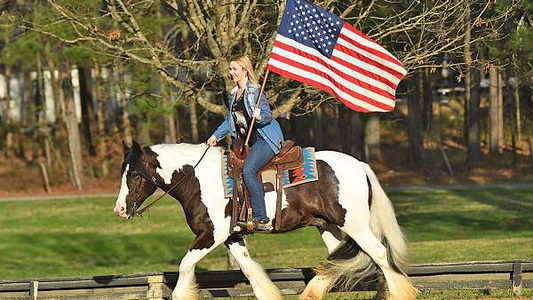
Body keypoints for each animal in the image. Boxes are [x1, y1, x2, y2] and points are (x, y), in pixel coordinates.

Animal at [114, 141, 418, 300]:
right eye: (123, 173)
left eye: (136, 175)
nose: (119, 209)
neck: (199, 180)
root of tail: (360, 166)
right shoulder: (233, 237)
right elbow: (251, 272)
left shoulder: (211, 235)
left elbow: (185, 266)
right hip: (328, 226)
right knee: (336, 260)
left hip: (354, 225)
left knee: (379, 254)